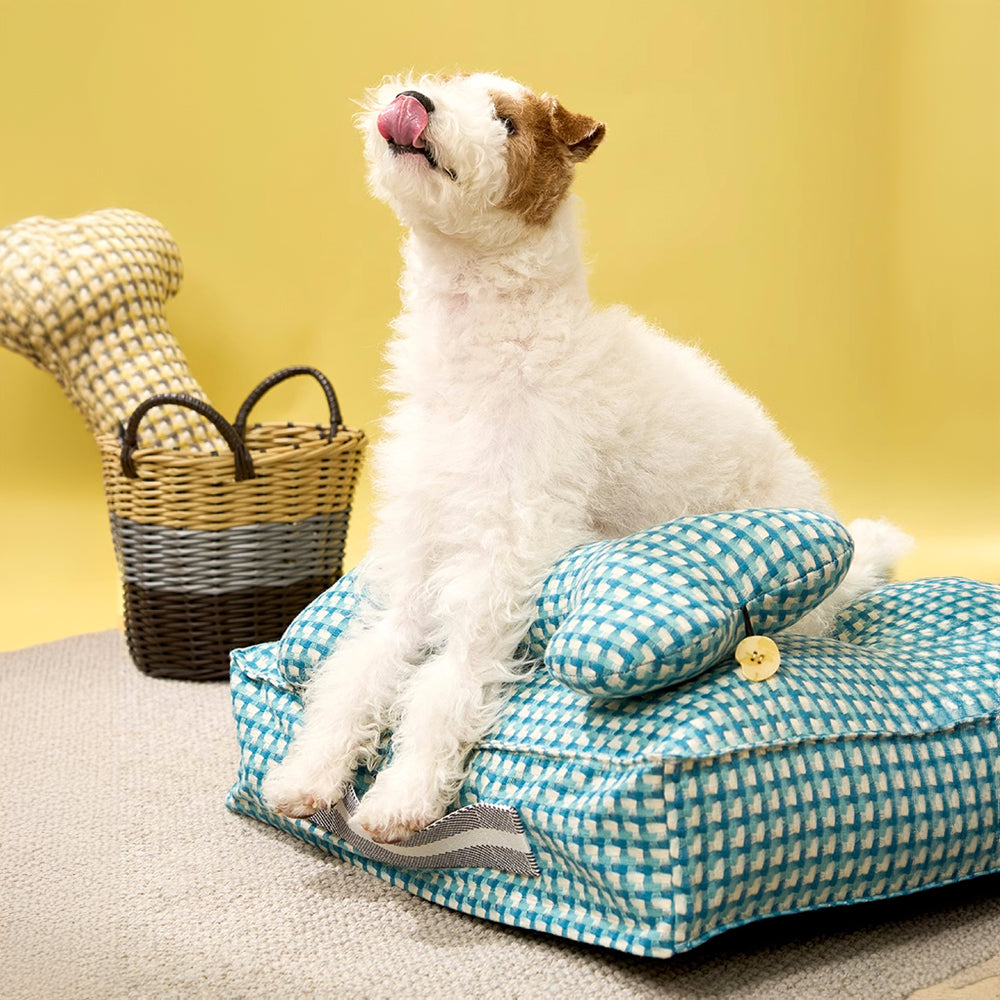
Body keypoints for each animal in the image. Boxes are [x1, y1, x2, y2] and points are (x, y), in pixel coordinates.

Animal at [262, 72, 912, 844]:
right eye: (448, 84)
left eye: (506, 123)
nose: (415, 101)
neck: (487, 351)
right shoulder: (417, 565)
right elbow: (359, 671)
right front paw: (308, 775)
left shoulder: (498, 564)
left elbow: (446, 683)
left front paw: (404, 795)